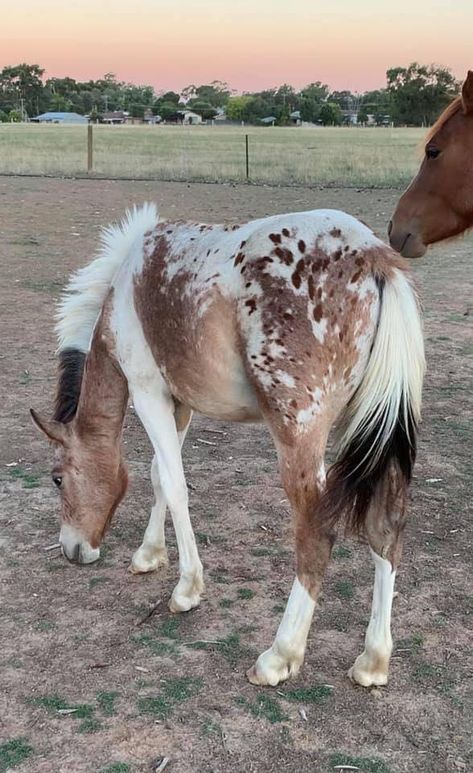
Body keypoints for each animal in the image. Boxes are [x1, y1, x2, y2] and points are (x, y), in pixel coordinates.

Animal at [32, 205, 424, 688]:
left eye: (57, 479)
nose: (71, 549)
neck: (123, 290)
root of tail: (373, 256)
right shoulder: (179, 402)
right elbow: (159, 476)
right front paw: (149, 555)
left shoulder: (148, 393)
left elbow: (175, 486)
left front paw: (186, 589)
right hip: (372, 430)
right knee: (386, 528)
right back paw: (373, 660)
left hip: (299, 436)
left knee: (317, 531)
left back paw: (280, 654)